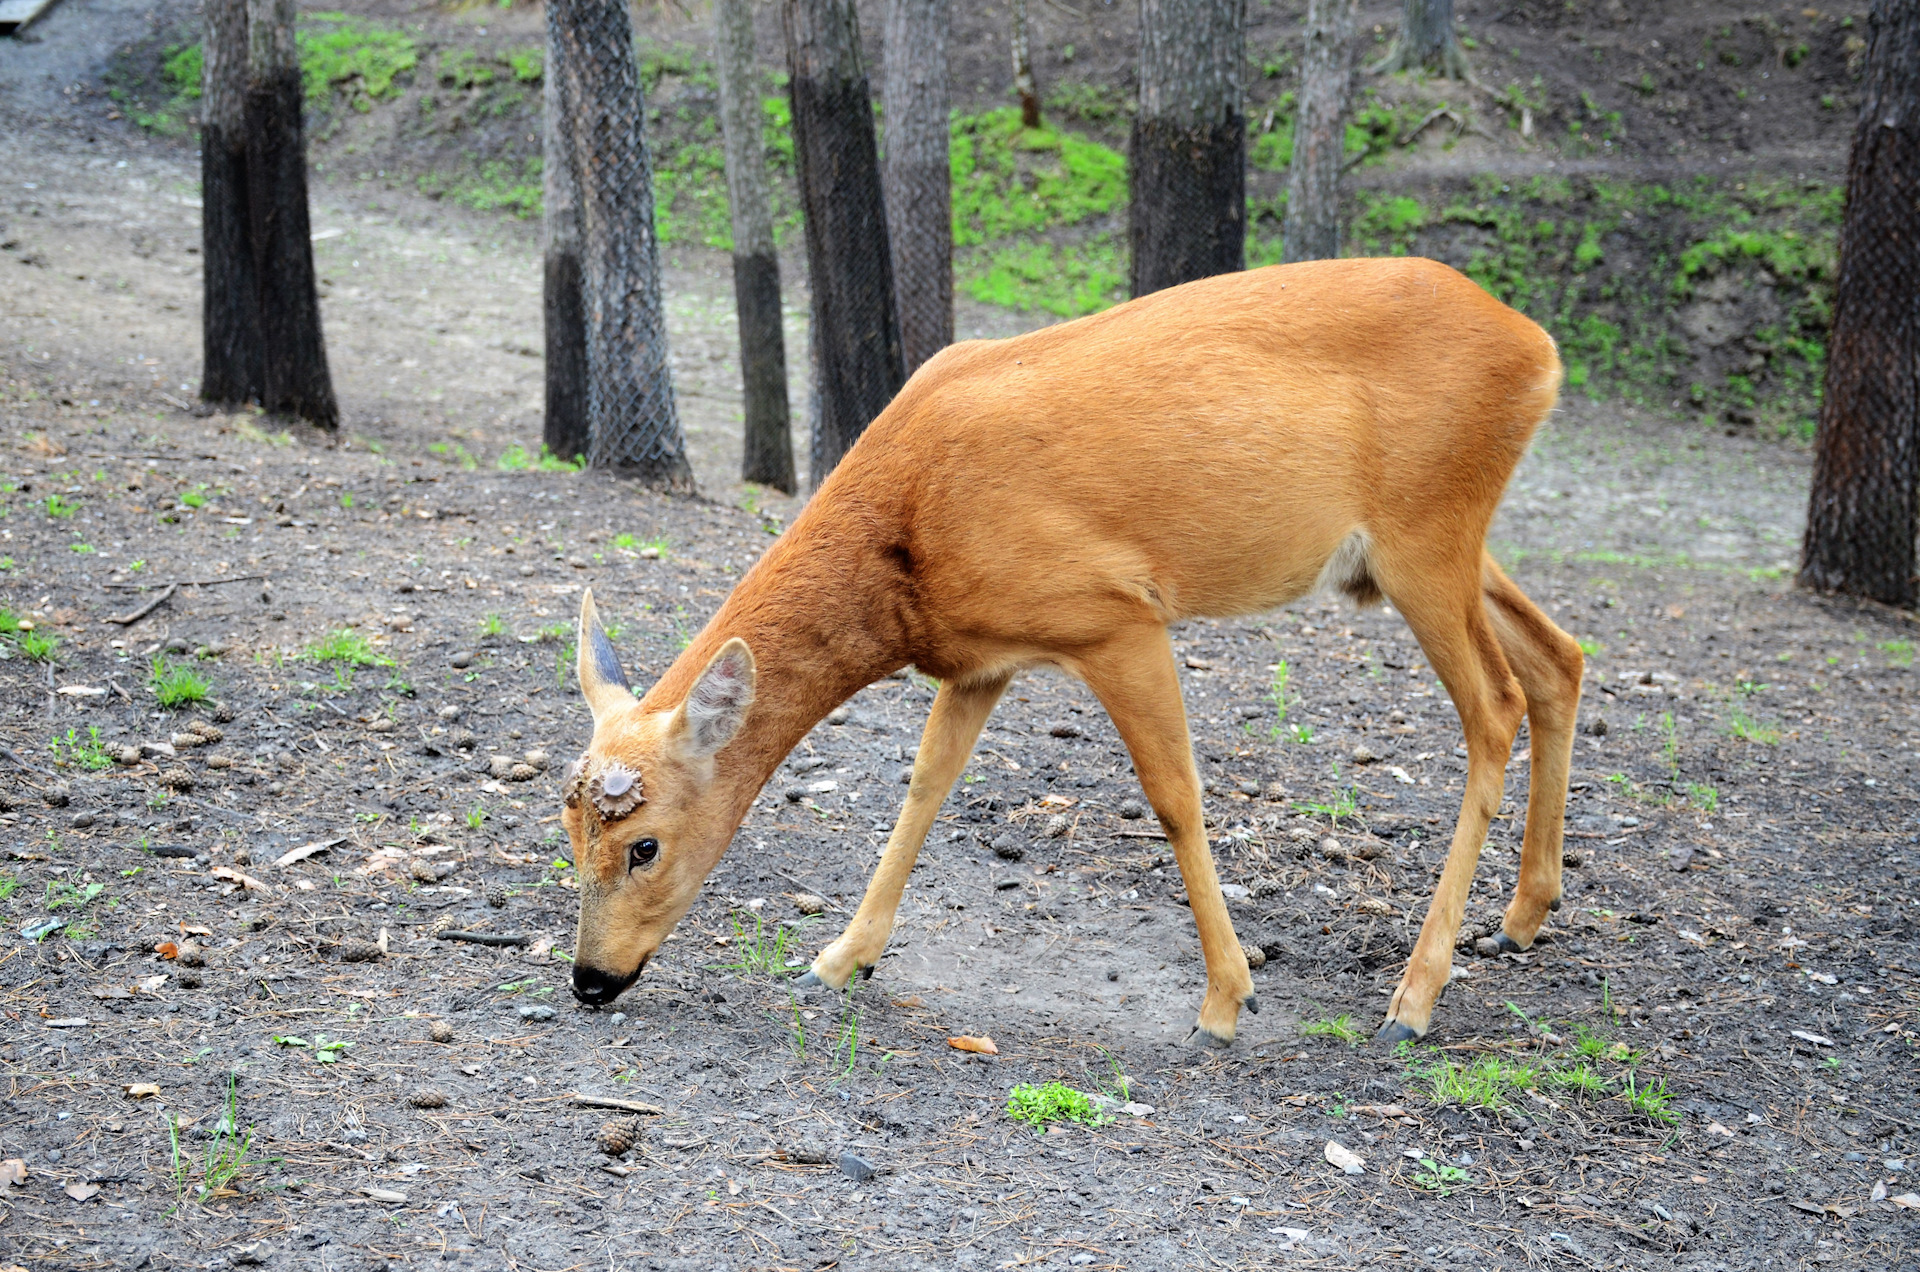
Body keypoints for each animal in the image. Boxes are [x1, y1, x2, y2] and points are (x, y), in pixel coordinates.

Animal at [560, 257, 1582, 1045]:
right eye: (568, 834)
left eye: (645, 845)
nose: (590, 980)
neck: (909, 538)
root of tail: (1539, 347)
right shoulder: (981, 656)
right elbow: (925, 788)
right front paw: (842, 957)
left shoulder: (1113, 615)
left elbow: (1175, 798)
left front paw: (1226, 1000)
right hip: (1437, 548)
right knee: (1558, 657)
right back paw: (1521, 919)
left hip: (1426, 531)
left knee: (1495, 704)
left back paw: (1413, 998)